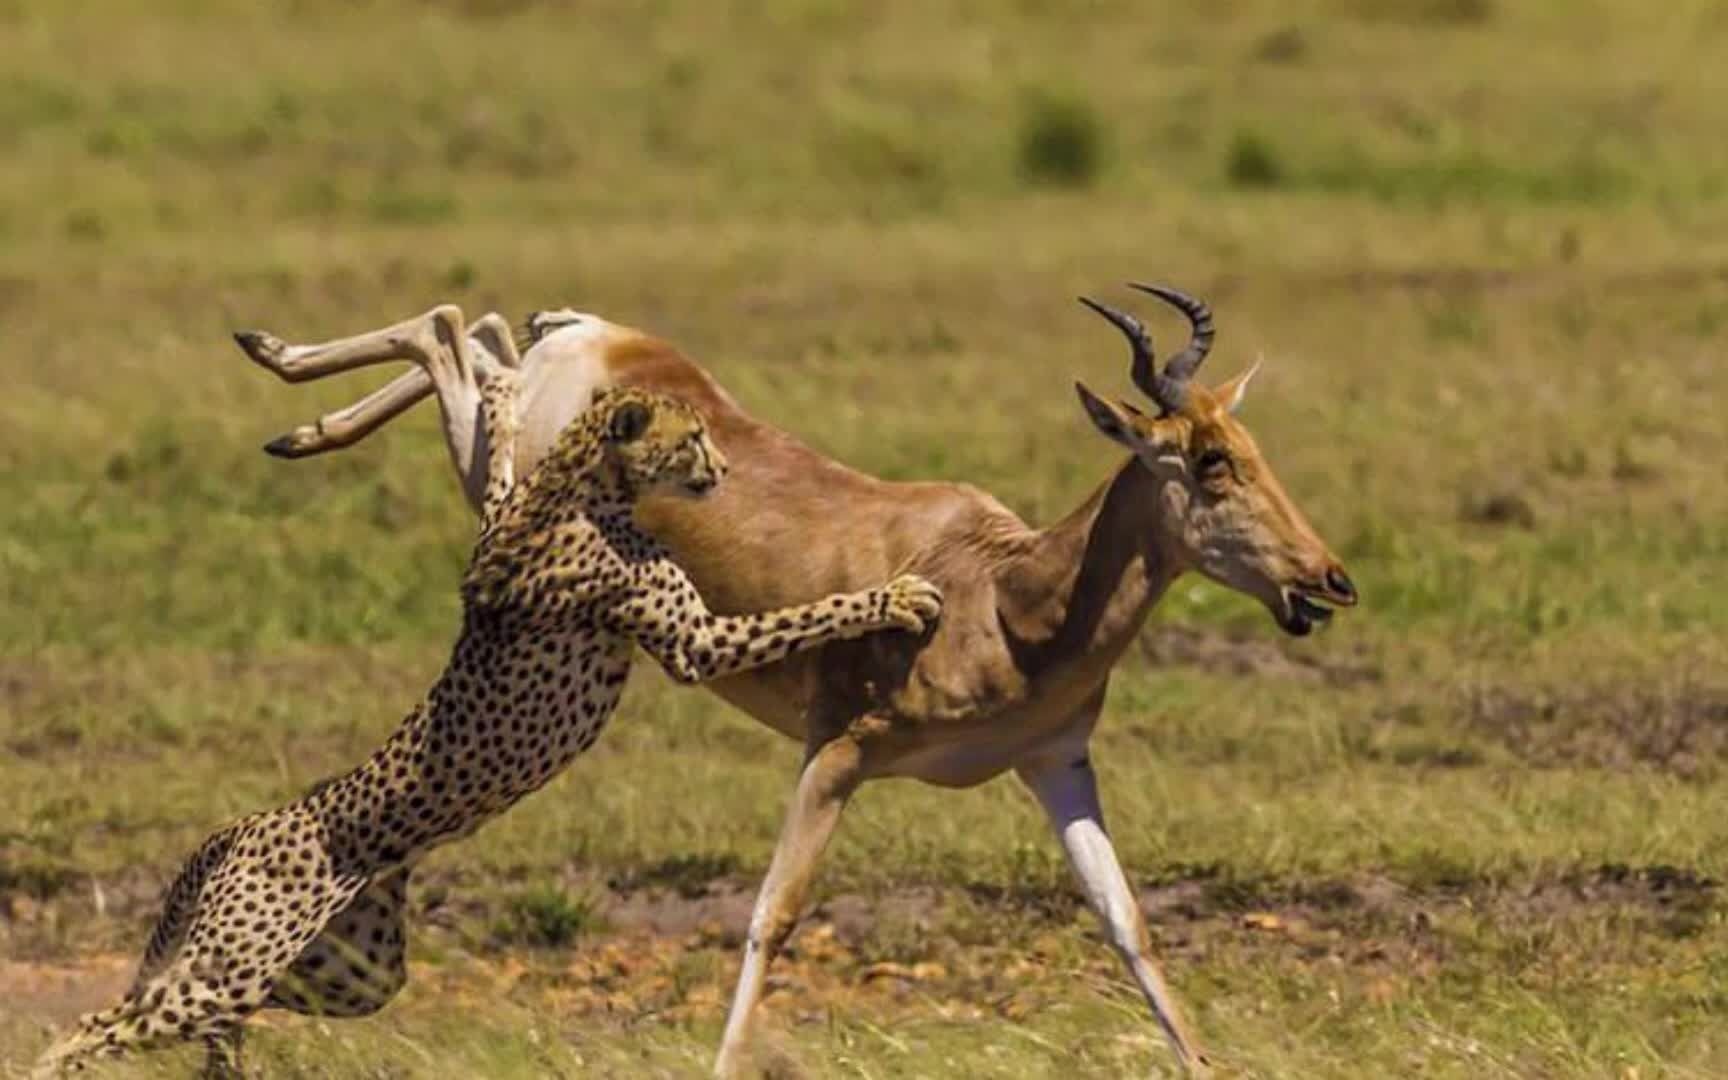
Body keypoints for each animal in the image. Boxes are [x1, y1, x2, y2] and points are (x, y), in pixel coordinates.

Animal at [33, 374, 940, 1071]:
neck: (588, 482)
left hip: (346, 973)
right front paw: (894, 597)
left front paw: (501, 403)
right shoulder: (696, 644)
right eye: (692, 439)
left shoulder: (500, 525)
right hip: (234, 966)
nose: (718, 470)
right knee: (97, 1024)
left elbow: (499, 474)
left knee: (193, 1017)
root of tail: (247, 824)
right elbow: (808, 612)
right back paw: (57, 1064)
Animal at [233, 281, 1361, 1071]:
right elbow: (772, 917)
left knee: (482, 332)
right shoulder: (839, 754)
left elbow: (1128, 925)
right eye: (1206, 461)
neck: (1004, 591)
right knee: (450, 330)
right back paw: (278, 374)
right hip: (496, 471)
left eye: (1249, 445)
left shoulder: (1053, 762)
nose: (1328, 582)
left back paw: (294, 411)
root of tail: (598, 336)